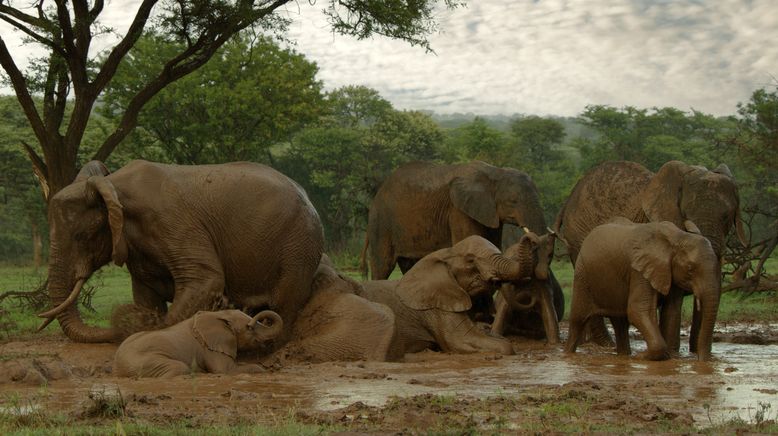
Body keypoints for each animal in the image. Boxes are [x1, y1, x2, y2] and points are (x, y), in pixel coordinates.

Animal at [35, 160, 322, 344]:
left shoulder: (172, 221)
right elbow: (146, 295)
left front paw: (145, 328)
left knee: (284, 303)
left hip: (298, 246)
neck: (113, 184)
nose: (119, 323)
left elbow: (205, 280)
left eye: (81, 237)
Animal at [113, 308, 284, 376]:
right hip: (141, 362)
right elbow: (224, 370)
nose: (253, 321)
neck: (220, 314)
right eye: (248, 328)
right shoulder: (211, 347)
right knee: (180, 367)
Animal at [360, 160, 560, 320]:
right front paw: (479, 316)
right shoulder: (459, 211)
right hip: (381, 223)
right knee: (382, 265)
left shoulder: (489, 214)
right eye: (513, 201)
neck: (495, 172)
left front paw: (487, 317)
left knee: (410, 266)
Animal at [560, 218, 720, 362]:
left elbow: (670, 311)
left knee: (620, 323)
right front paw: (641, 357)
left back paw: (624, 356)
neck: (677, 237)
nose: (701, 361)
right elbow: (638, 310)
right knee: (578, 320)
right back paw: (568, 354)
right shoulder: (638, 270)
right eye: (690, 269)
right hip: (582, 275)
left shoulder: (668, 272)